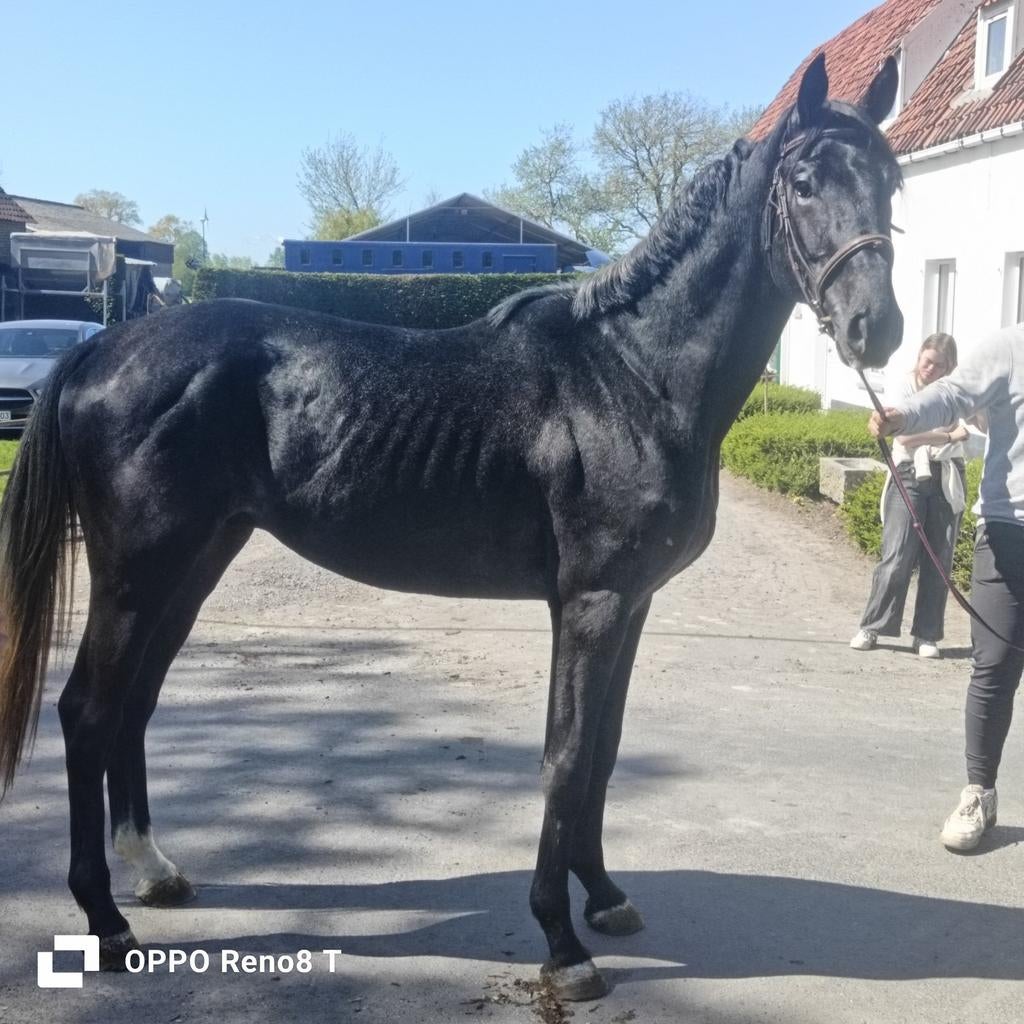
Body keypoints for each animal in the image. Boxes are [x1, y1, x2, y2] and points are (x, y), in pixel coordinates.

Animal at [0, 54, 902, 1001]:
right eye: (804, 183)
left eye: (893, 181)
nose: (876, 329)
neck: (630, 376)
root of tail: (101, 348)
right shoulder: (591, 603)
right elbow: (567, 756)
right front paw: (563, 944)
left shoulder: (633, 603)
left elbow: (605, 750)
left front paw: (604, 896)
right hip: (138, 570)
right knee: (89, 710)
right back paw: (104, 918)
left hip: (196, 560)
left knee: (134, 704)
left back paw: (155, 870)